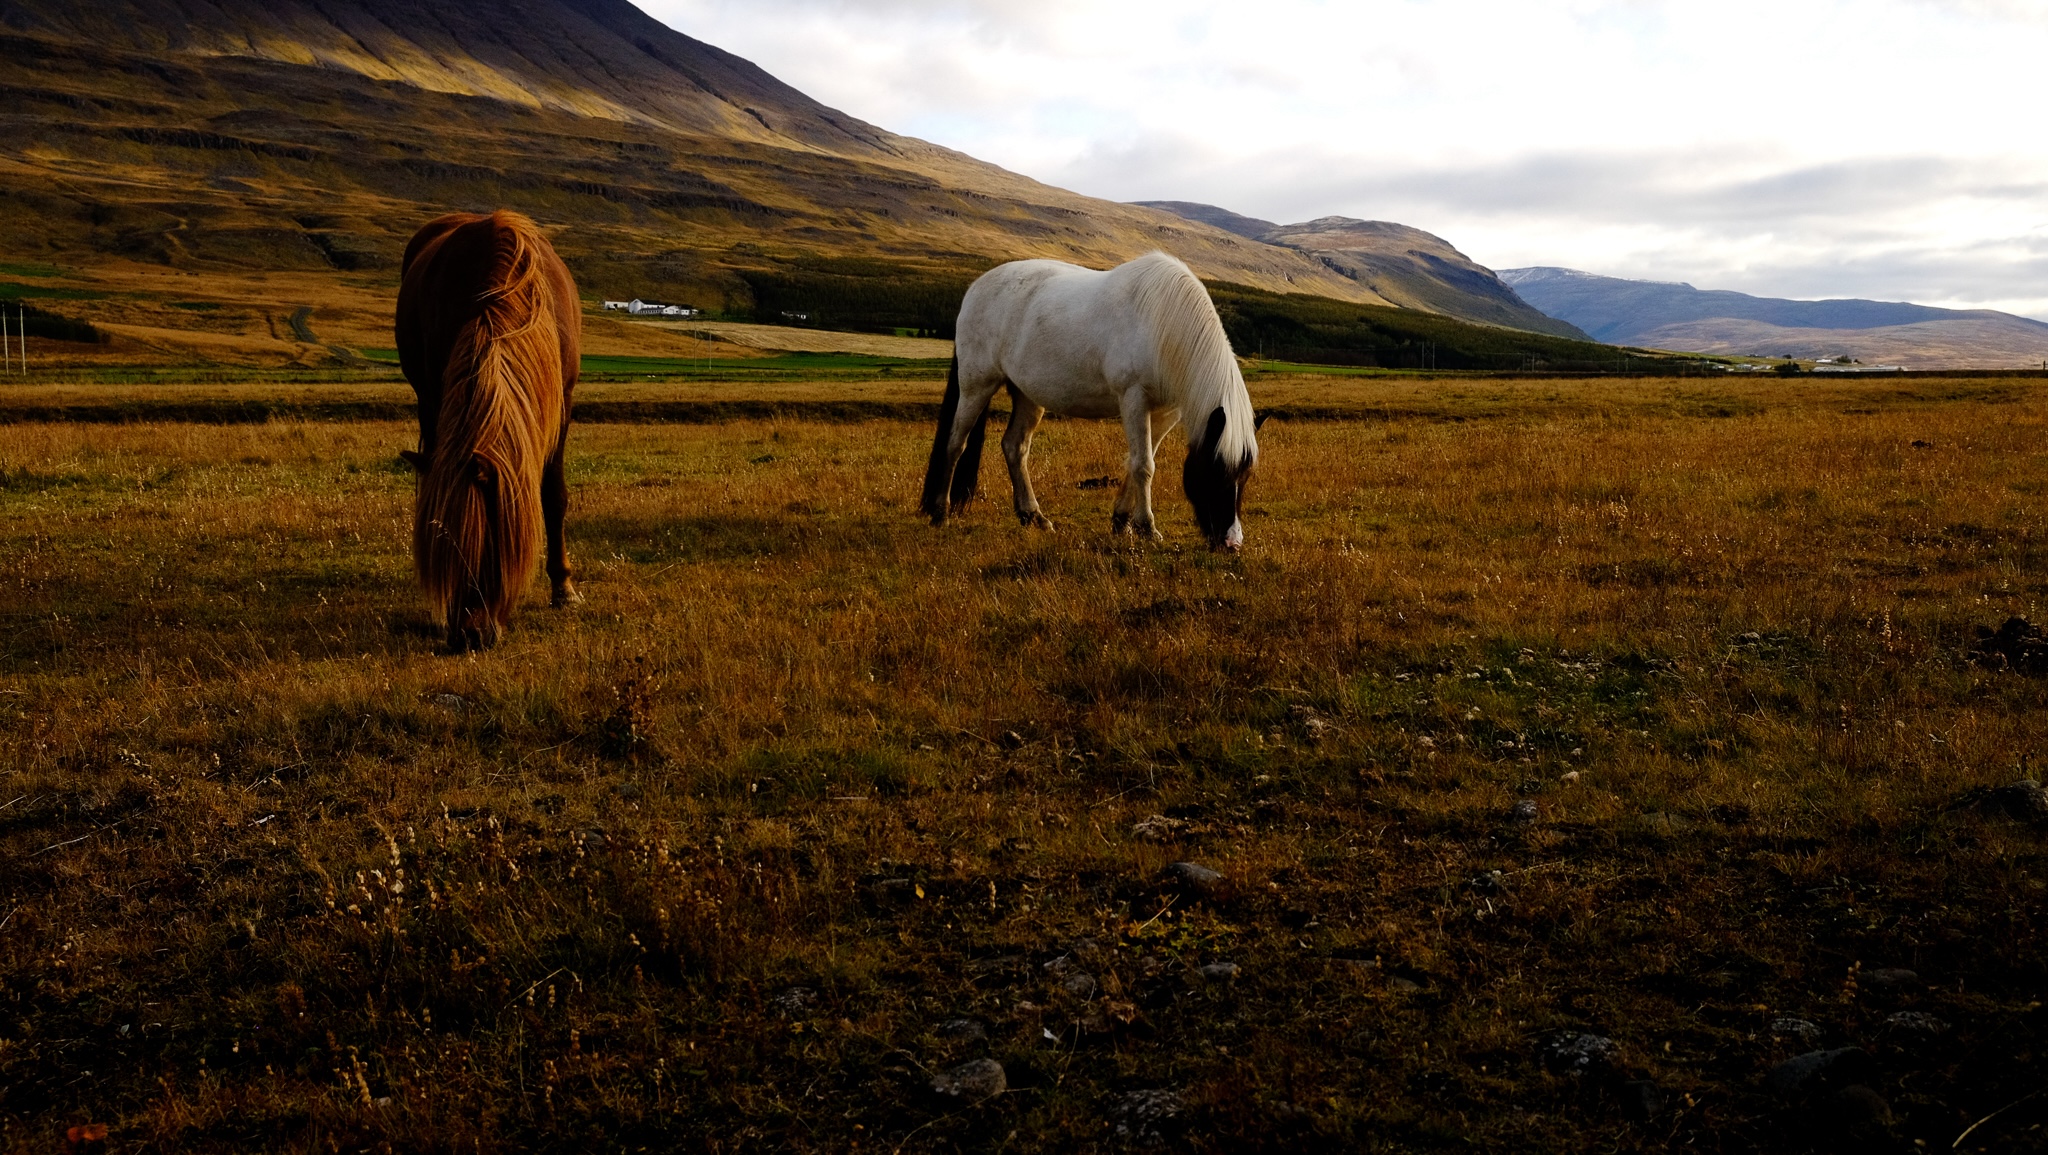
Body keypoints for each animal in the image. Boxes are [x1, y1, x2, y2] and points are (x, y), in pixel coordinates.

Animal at [395, 210, 581, 652]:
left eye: (493, 548)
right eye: (444, 548)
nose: (469, 637)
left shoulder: (562, 404)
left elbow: (554, 497)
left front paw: (564, 588)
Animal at [920, 251, 1264, 551]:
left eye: (1245, 476)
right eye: (1215, 471)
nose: (1231, 543)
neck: (1161, 322)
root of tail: (975, 288)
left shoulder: (1166, 412)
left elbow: (1139, 460)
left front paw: (1122, 521)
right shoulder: (1133, 399)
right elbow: (1143, 465)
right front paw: (1147, 528)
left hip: (1028, 395)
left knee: (1014, 447)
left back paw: (1033, 516)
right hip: (976, 386)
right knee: (956, 443)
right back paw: (940, 512)